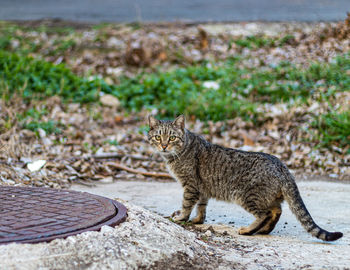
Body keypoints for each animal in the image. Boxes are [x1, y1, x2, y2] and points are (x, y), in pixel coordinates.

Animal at [146, 115, 344, 242]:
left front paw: (181, 218)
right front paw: (197, 220)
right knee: (276, 211)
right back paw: (263, 230)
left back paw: (248, 230)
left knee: (265, 213)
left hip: (246, 195)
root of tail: (282, 166)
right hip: (267, 196)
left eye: (172, 137)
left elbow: (187, 204)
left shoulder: (191, 185)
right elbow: (201, 206)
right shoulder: (203, 188)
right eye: (158, 137)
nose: (164, 146)